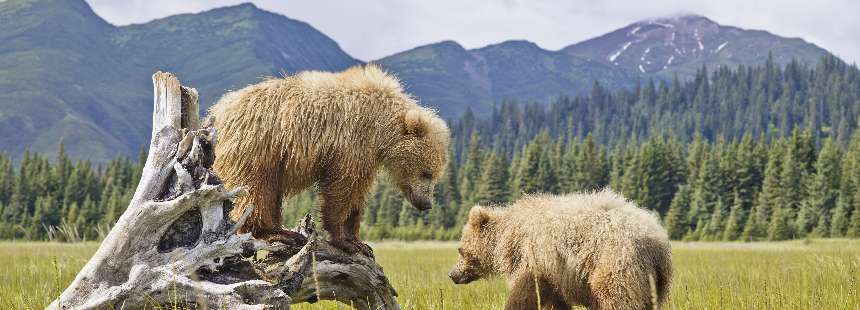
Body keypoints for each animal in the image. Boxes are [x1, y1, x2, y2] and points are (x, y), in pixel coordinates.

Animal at [209, 63, 450, 254]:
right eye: (426, 173)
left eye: (436, 175)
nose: (426, 204)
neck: (381, 129)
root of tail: (217, 110)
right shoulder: (350, 143)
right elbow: (341, 188)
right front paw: (343, 240)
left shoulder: (367, 156)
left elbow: (358, 194)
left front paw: (359, 240)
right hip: (256, 145)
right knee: (255, 189)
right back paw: (274, 233)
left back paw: (284, 230)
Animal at [446, 190, 676, 308]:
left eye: (460, 250)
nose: (452, 274)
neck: (507, 237)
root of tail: (656, 242)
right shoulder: (555, 274)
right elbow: (557, 300)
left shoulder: (533, 259)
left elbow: (525, 292)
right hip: (654, 281)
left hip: (616, 263)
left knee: (617, 298)